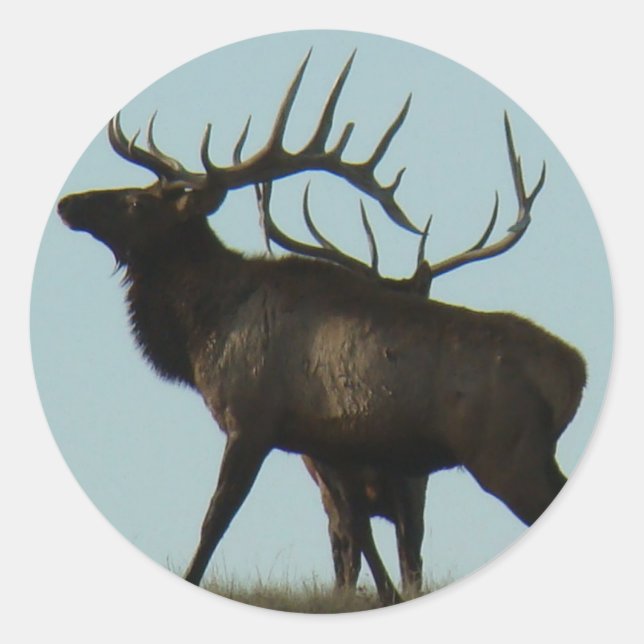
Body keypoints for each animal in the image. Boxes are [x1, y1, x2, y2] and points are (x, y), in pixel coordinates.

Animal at [57, 50, 586, 608]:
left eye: (136, 202)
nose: (69, 203)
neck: (202, 332)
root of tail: (575, 372)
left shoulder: (252, 419)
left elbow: (214, 522)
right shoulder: (329, 444)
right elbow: (357, 535)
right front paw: (384, 596)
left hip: (506, 452)